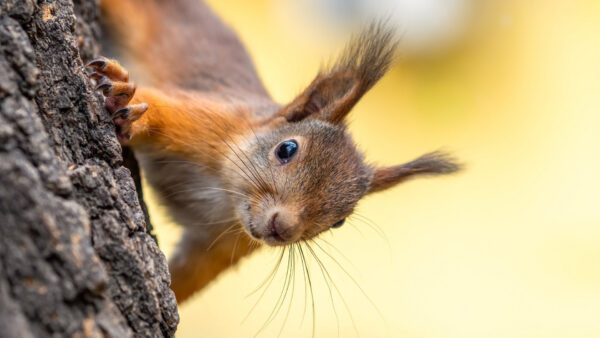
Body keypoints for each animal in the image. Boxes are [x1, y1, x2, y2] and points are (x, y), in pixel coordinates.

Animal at [91, 0, 462, 302]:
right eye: (287, 149)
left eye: (339, 222)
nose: (282, 228)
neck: (226, 201)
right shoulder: (211, 124)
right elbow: (160, 111)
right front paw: (127, 102)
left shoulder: (218, 245)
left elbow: (185, 280)